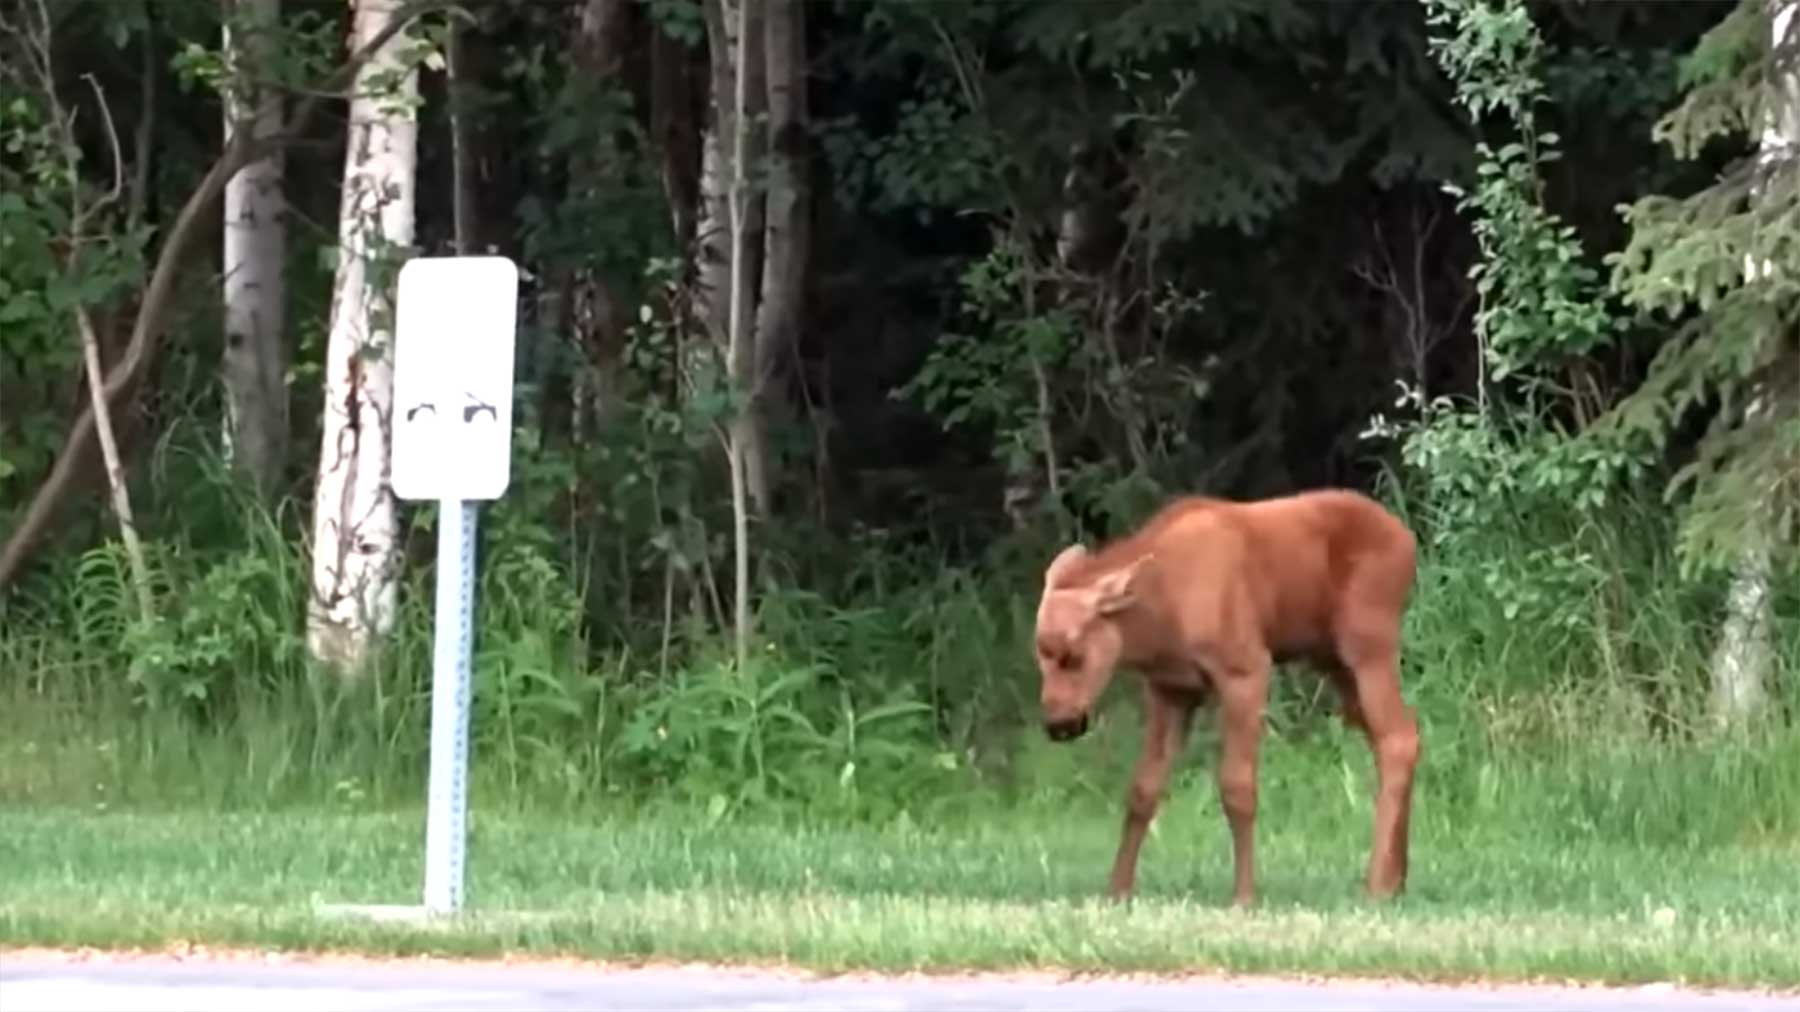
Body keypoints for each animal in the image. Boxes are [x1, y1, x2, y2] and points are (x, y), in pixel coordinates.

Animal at [1044, 486, 1418, 900]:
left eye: (1073, 656)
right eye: (1039, 653)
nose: (1058, 723)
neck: (1160, 617)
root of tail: (1408, 543)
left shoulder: (1246, 669)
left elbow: (1238, 788)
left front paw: (1244, 895)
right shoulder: (1171, 688)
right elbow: (1143, 789)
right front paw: (1118, 891)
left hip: (1368, 643)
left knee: (1398, 737)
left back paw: (1378, 884)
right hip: (1334, 661)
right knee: (1394, 735)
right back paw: (1397, 878)